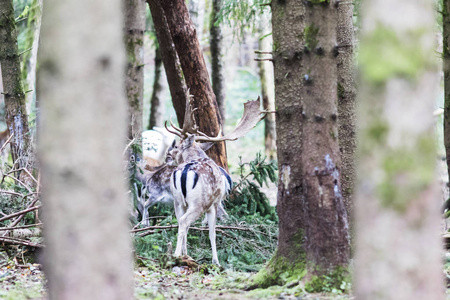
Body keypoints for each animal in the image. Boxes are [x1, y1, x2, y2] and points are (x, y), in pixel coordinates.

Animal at [164, 96, 266, 264]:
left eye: (177, 146)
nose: (167, 155)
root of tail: (184, 171)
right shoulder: (215, 203)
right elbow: (212, 232)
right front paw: (216, 261)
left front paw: (188, 254)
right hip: (200, 202)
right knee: (185, 221)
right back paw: (176, 255)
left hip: (178, 201)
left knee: (180, 221)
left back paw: (180, 254)